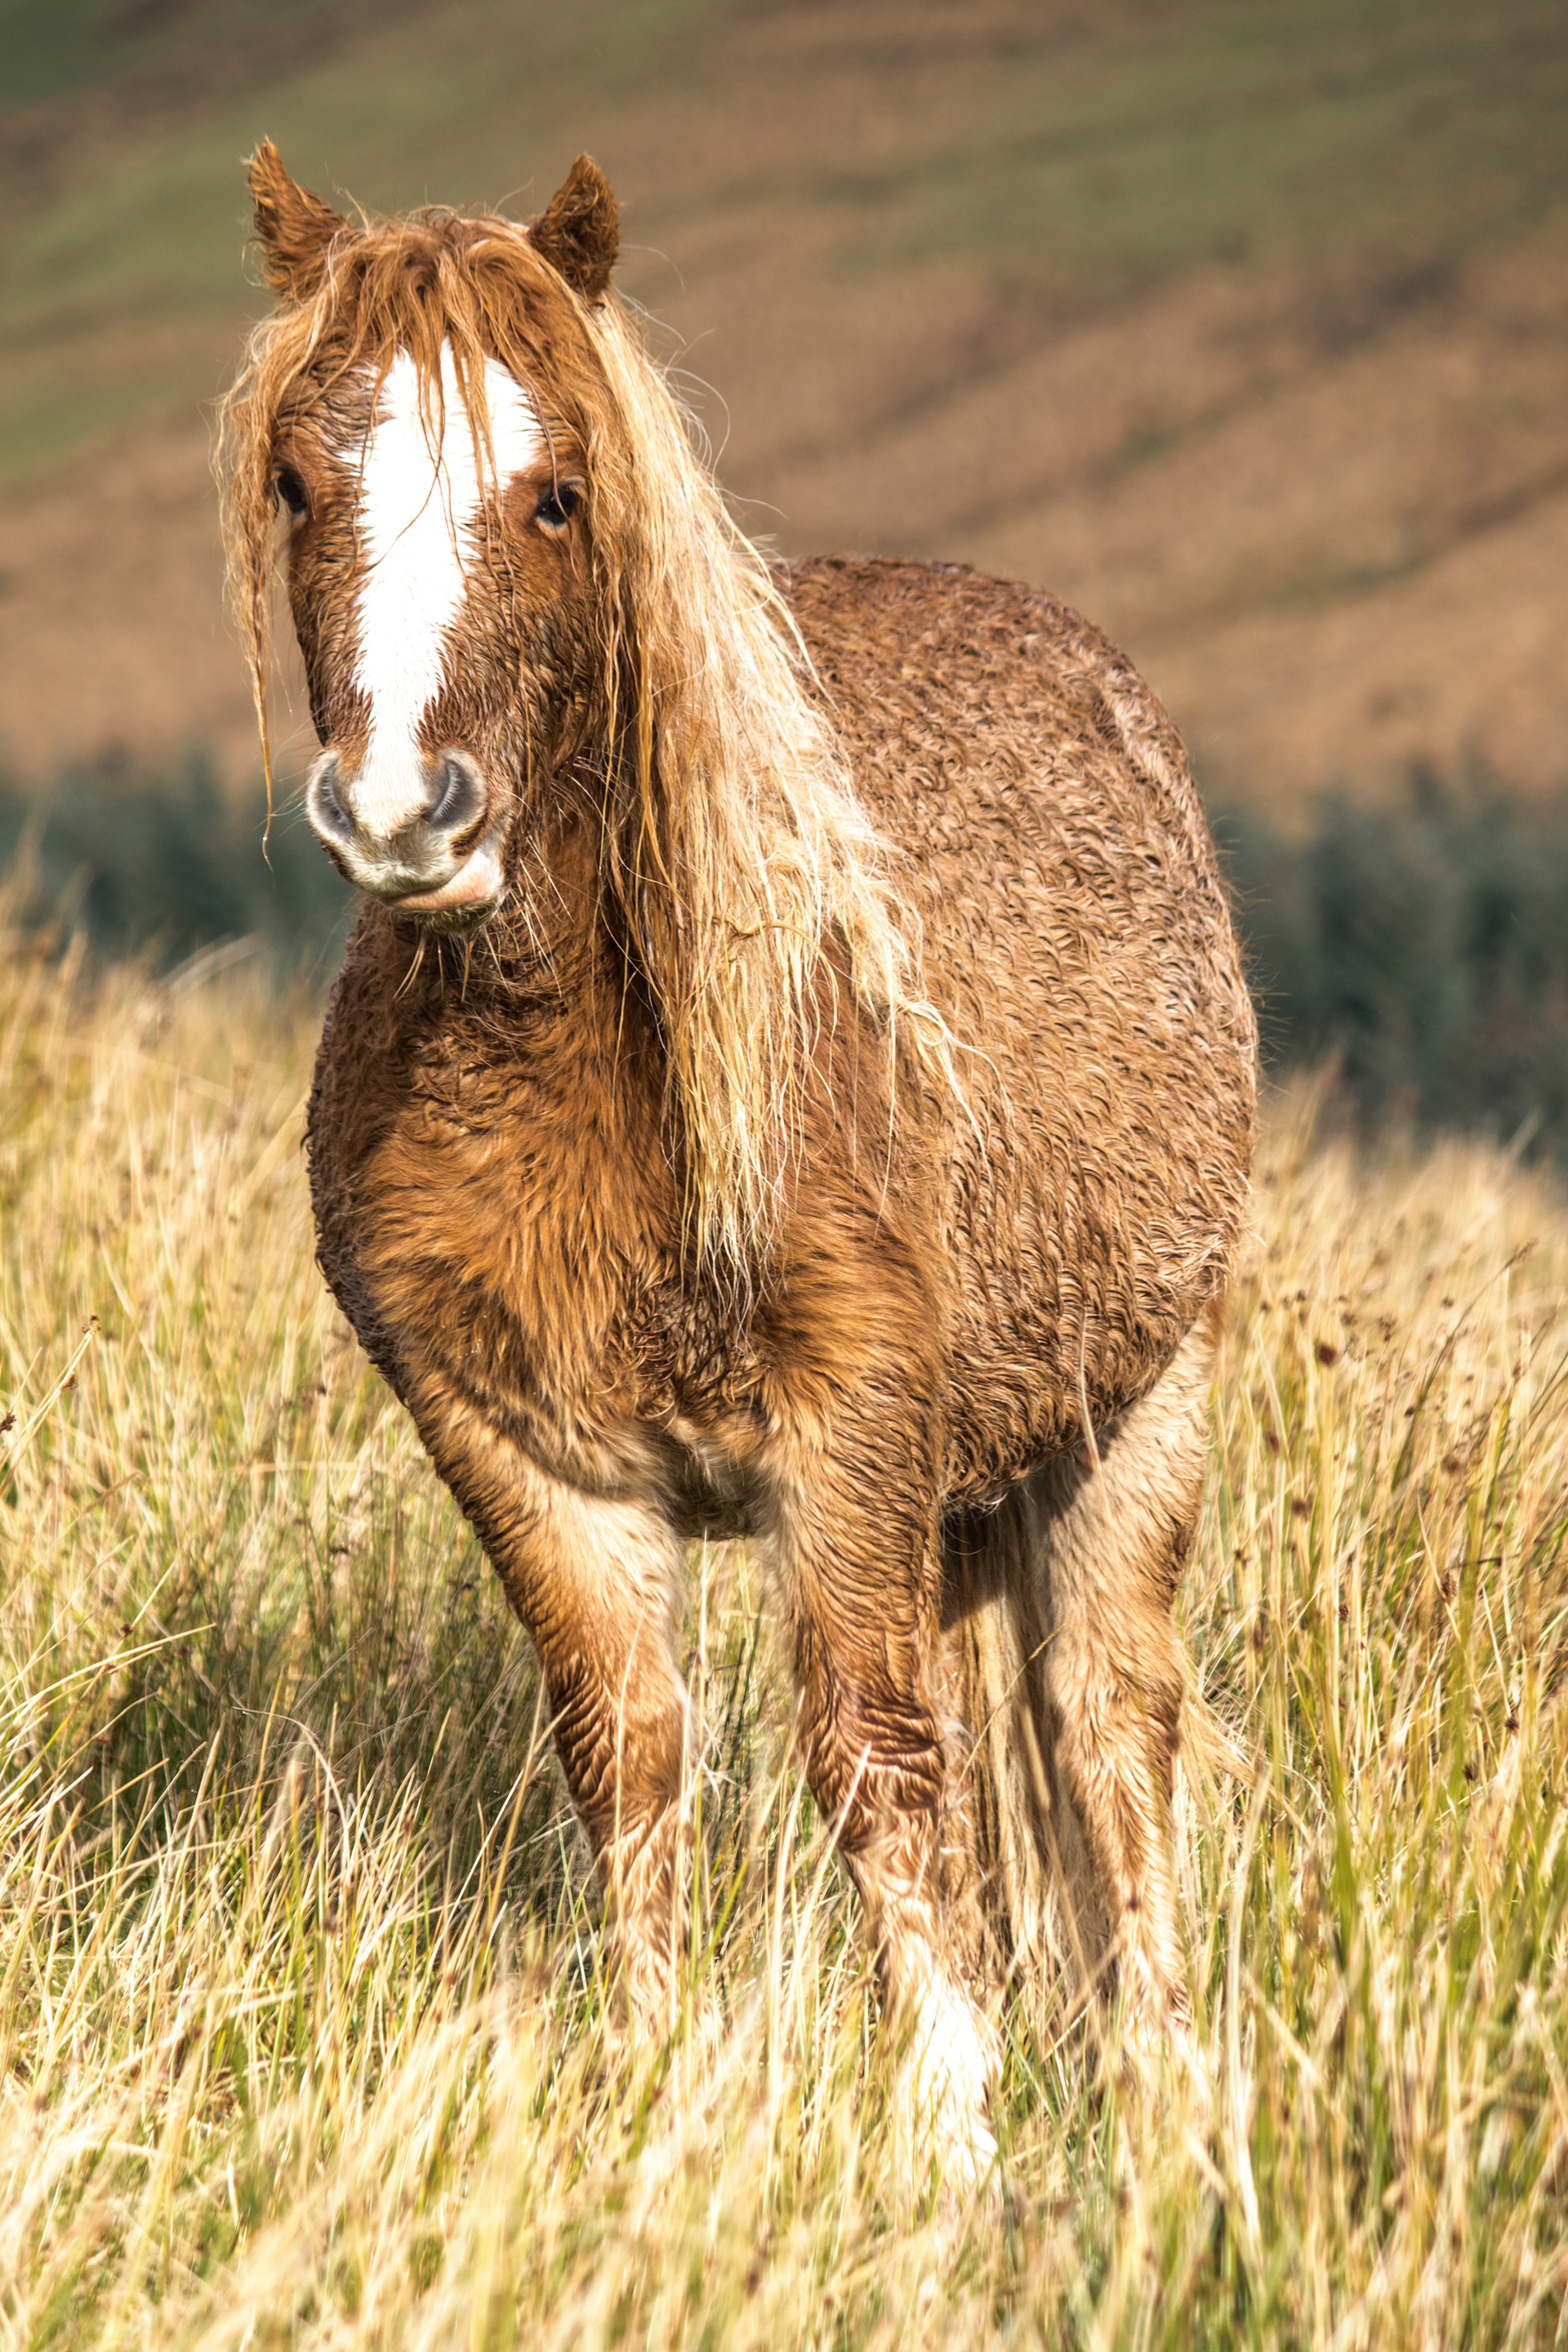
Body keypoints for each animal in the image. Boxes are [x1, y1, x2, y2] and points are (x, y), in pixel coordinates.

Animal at [219, 142, 1256, 2177]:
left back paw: (1172, 2105)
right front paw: (645, 2091)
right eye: (301, 480)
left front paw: (954, 2137)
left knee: (1106, 1728)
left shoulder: (849, 1433)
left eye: (556, 493)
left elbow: (874, 1756)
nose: (402, 812)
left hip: (1129, 1412)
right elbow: (627, 1753)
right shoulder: (521, 1456)